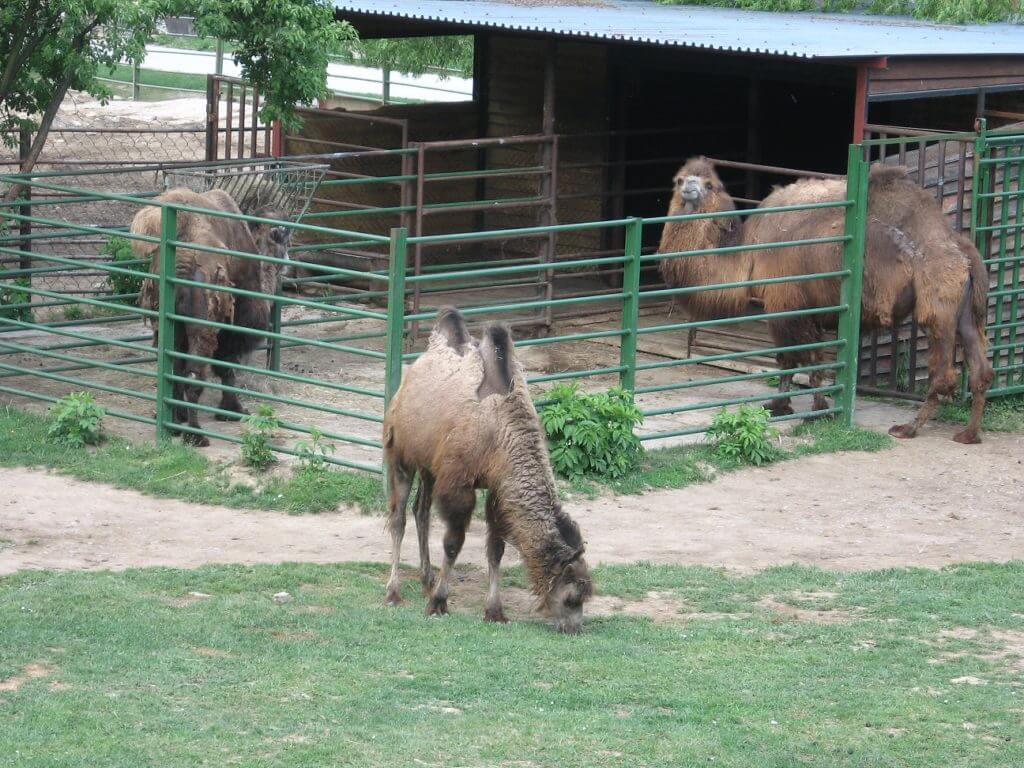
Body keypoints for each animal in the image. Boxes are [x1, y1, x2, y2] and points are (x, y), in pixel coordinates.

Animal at [132, 188, 292, 444]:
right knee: (195, 376)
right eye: (284, 237)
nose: (287, 261)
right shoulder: (233, 328)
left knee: (175, 370)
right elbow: (228, 366)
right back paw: (196, 436)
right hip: (203, 325)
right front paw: (233, 410)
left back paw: (175, 424)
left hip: (169, 323)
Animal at [382, 309, 593, 634]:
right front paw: (439, 603)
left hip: (430, 465)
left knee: (421, 511)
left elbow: (496, 548)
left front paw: (494, 610)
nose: (574, 629)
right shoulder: (458, 483)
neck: (501, 432)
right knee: (398, 518)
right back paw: (394, 592)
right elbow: (453, 543)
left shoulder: (498, 485)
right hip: (401, 454)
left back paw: (427, 579)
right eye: (571, 597)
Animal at [659, 156, 987, 444]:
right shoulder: (800, 309)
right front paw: (780, 406)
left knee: (944, 374)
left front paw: (815, 410)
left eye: (709, 184)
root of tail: (960, 248)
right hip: (965, 310)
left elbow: (802, 360)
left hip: (938, 302)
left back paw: (908, 428)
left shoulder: (787, 305)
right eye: (679, 180)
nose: (689, 188)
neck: (748, 251)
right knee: (980, 369)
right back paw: (969, 434)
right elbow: (794, 359)